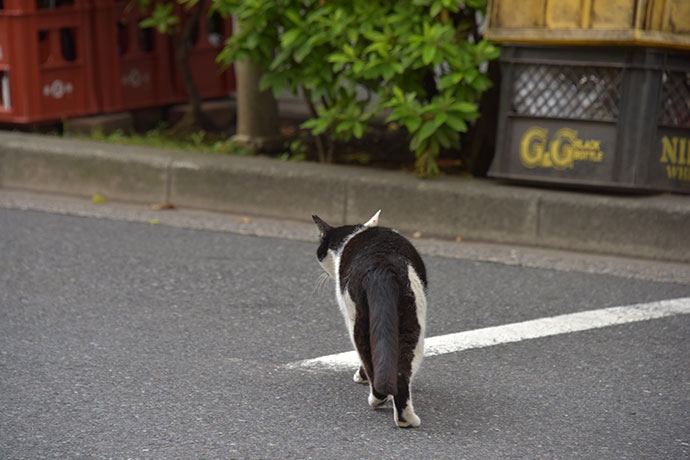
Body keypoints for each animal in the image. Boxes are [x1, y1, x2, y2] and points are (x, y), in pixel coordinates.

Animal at [310, 211, 424, 428]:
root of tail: (381, 268)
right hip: (409, 320)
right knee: (399, 369)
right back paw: (405, 418)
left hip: (360, 320)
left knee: (369, 356)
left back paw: (378, 400)